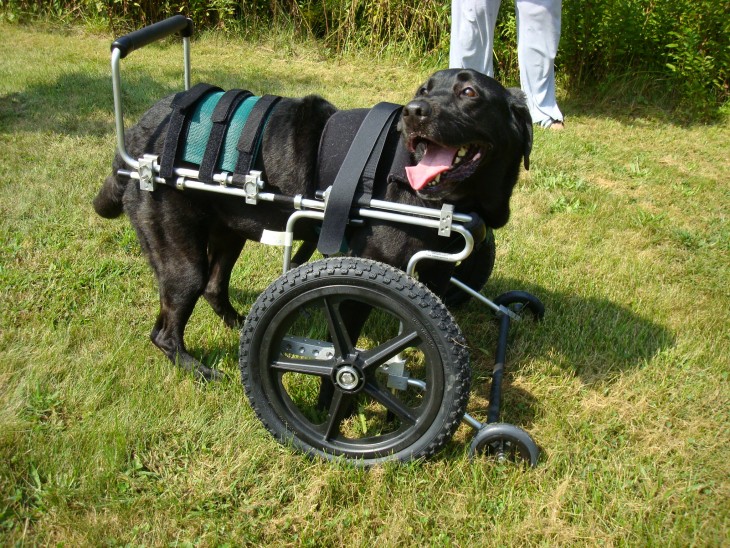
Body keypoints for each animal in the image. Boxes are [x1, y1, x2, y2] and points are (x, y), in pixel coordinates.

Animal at [94, 68, 532, 378]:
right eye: (423, 91)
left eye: (469, 93)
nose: (413, 111)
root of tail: (136, 137)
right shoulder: (366, 280)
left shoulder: (437, 273)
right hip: (182, 258)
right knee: (167, 330)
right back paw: (200, 371)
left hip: (228, 235)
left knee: (214, 289)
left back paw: (241, 324)